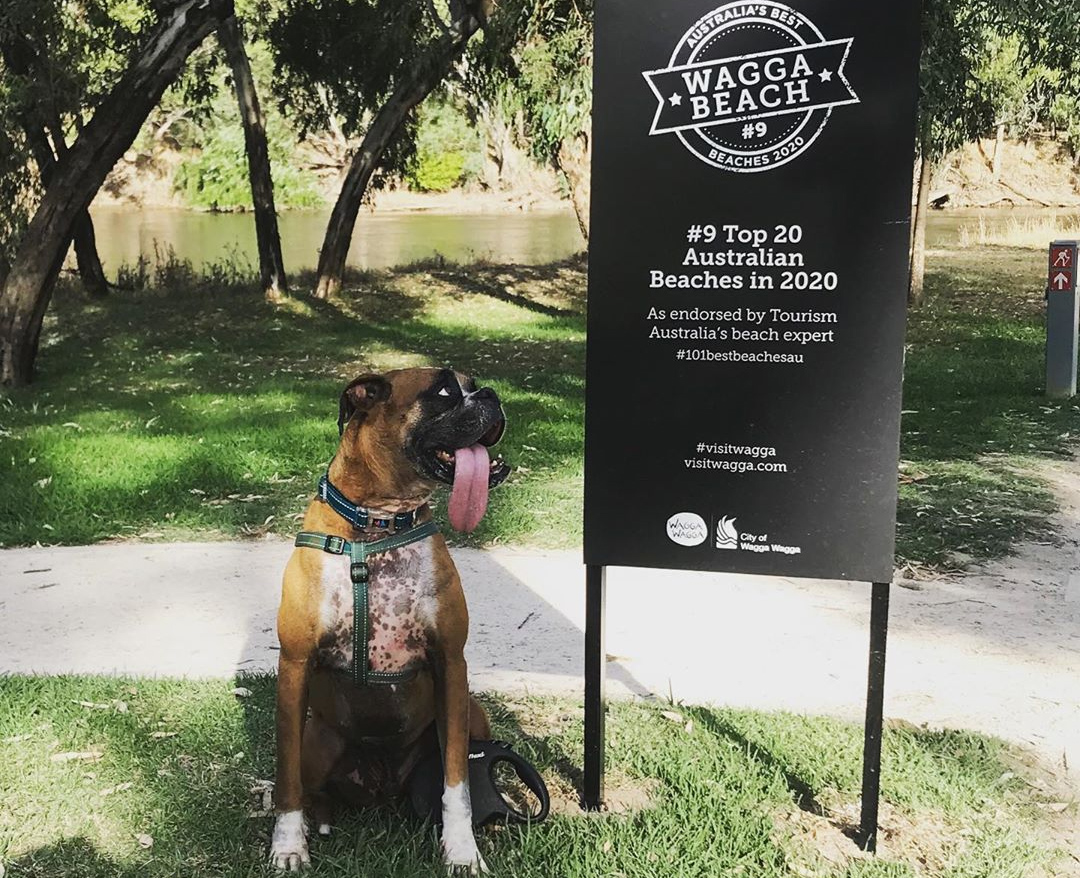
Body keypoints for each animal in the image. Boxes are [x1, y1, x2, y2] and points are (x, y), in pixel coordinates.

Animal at [267, 365, 507, 868]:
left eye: (473, 383)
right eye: (444, 390)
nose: (492, 395)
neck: (377, 524)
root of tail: (382, 786)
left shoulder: (451, 664)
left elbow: (456, 781)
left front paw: (461, 849)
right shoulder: (293, 667)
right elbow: (287, 780)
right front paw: (288, 844)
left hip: (473, 713)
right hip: (318, 736)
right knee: (312, 785)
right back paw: (319, 817)